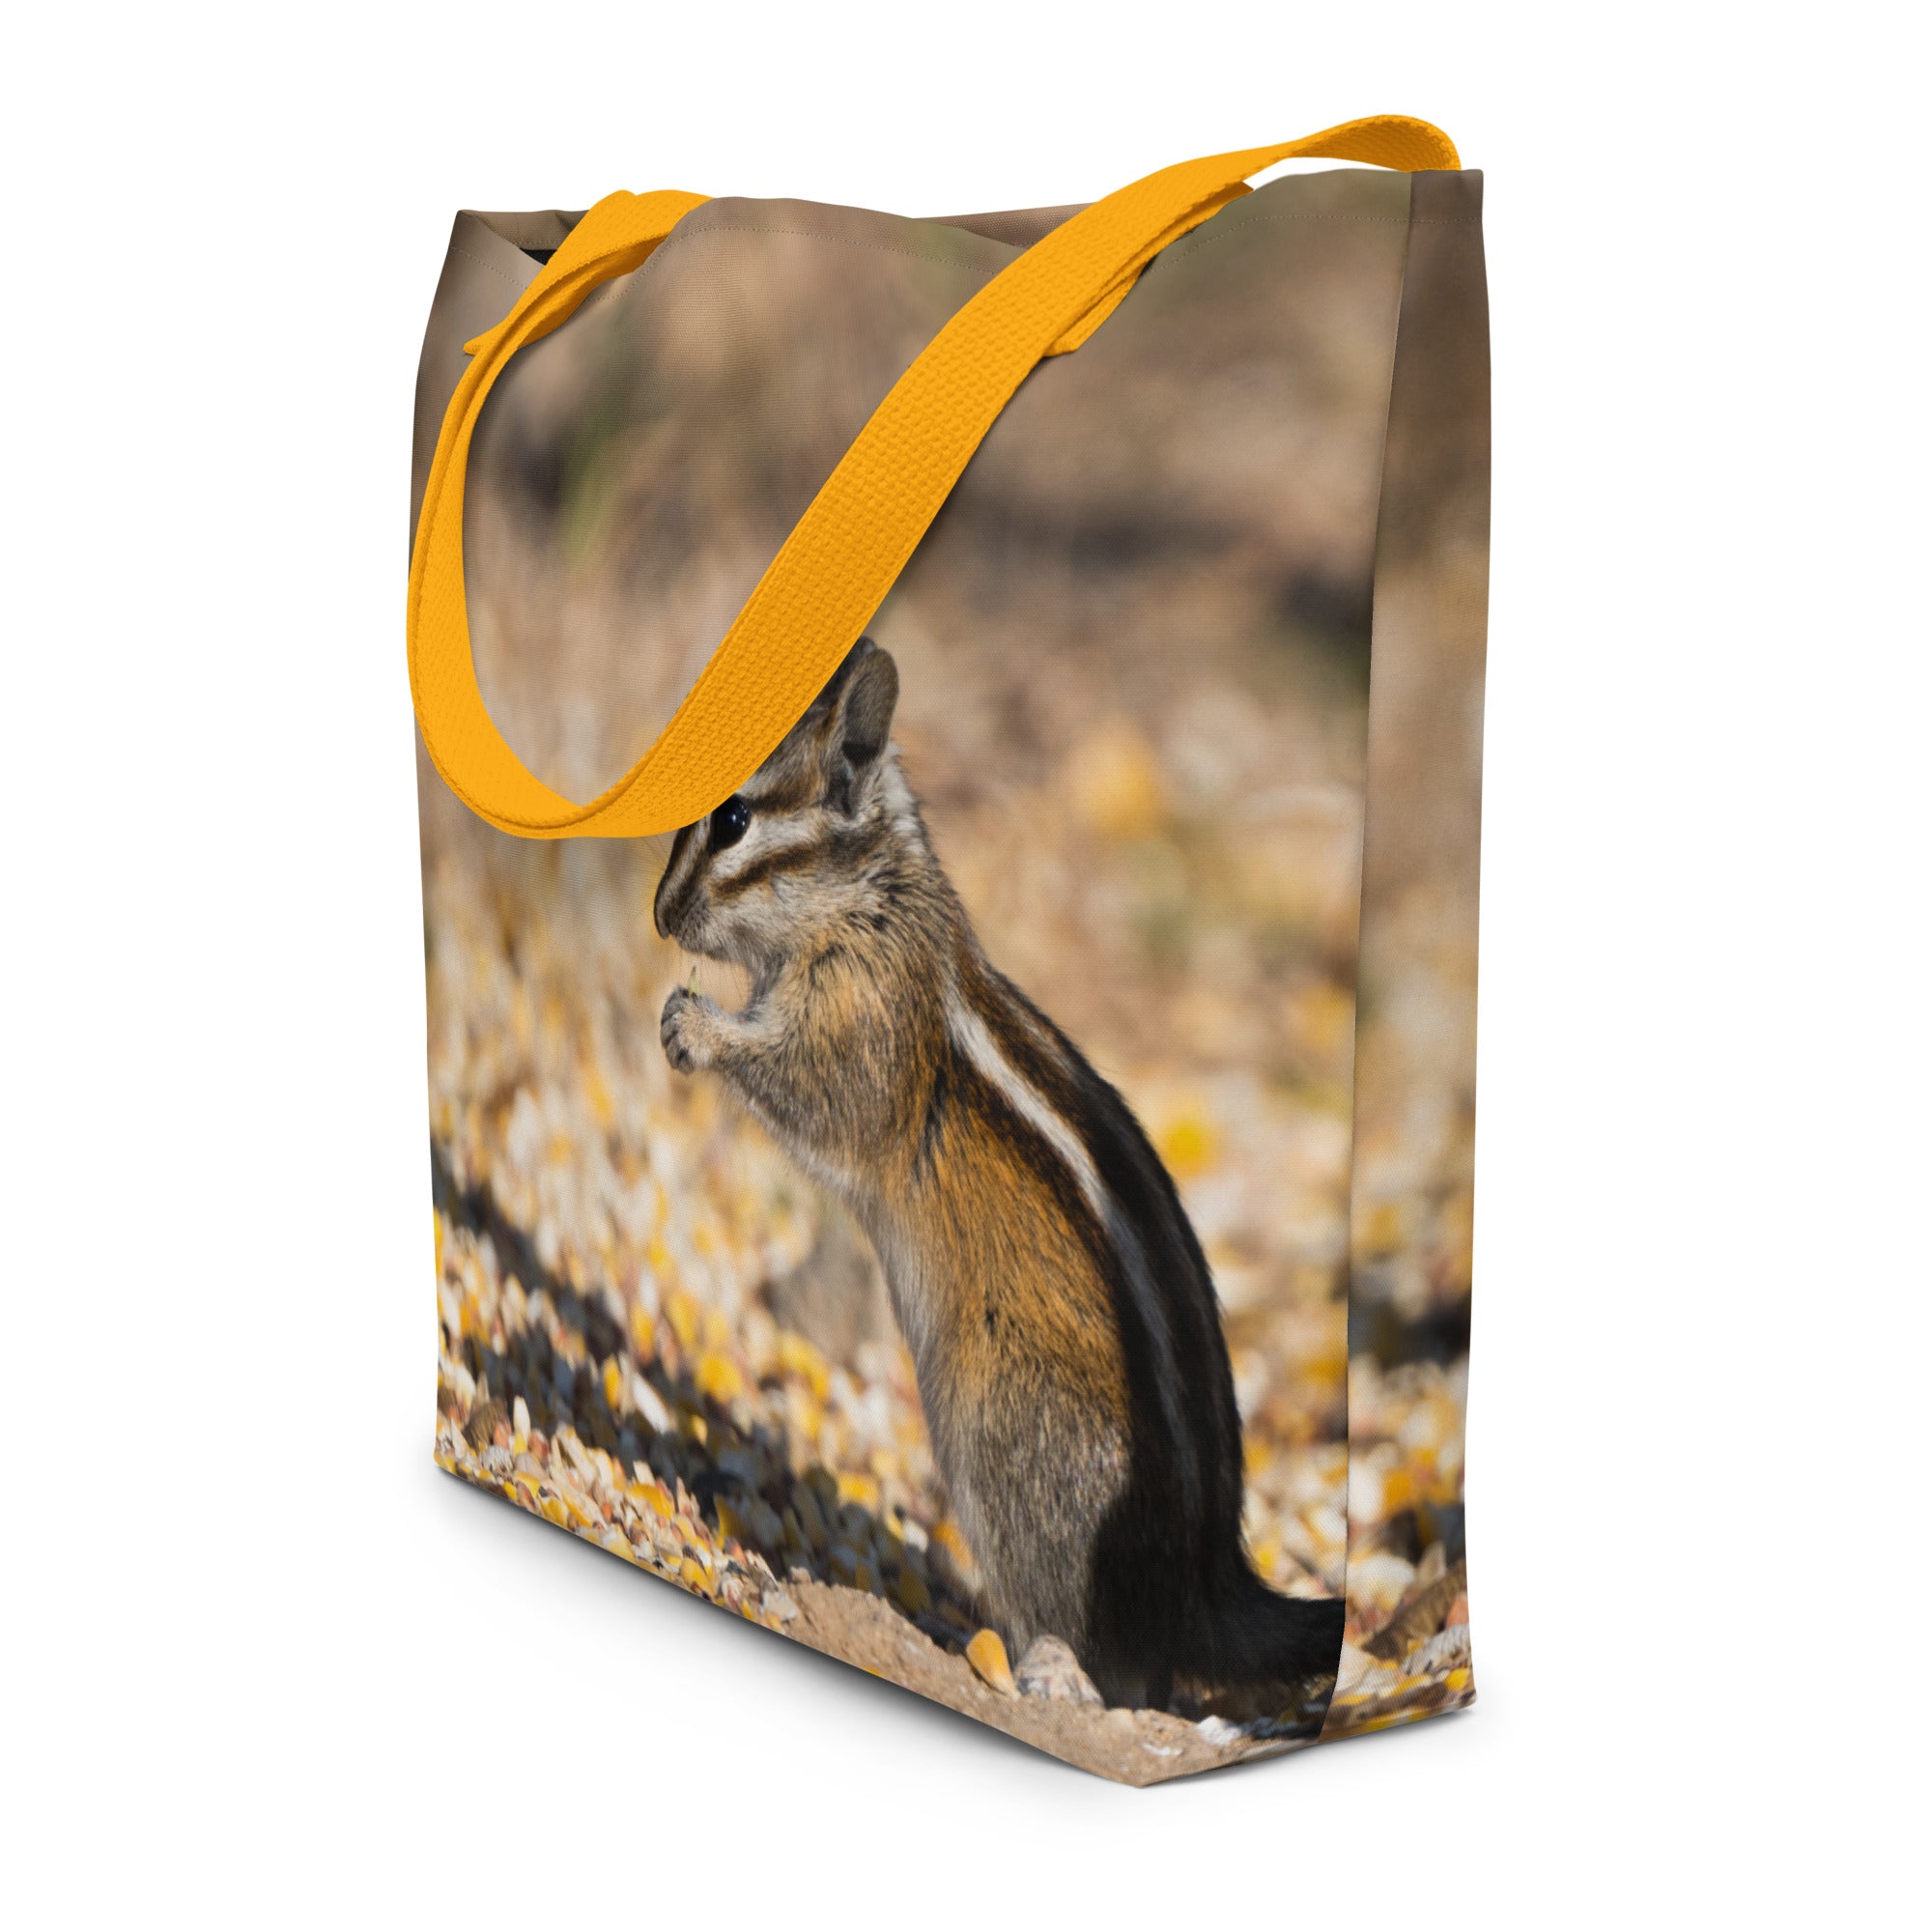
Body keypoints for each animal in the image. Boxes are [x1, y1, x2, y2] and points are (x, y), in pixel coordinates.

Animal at [654, 640, 1344, 1714]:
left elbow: (815, 1093)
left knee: (1119, 1670)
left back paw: (1028, 1665)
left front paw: (696, 1027)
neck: (876, 899)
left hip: (1002, 1434)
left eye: (731, 818)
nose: (658, 915)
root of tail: (1208, 1590)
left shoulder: (863, 1029)